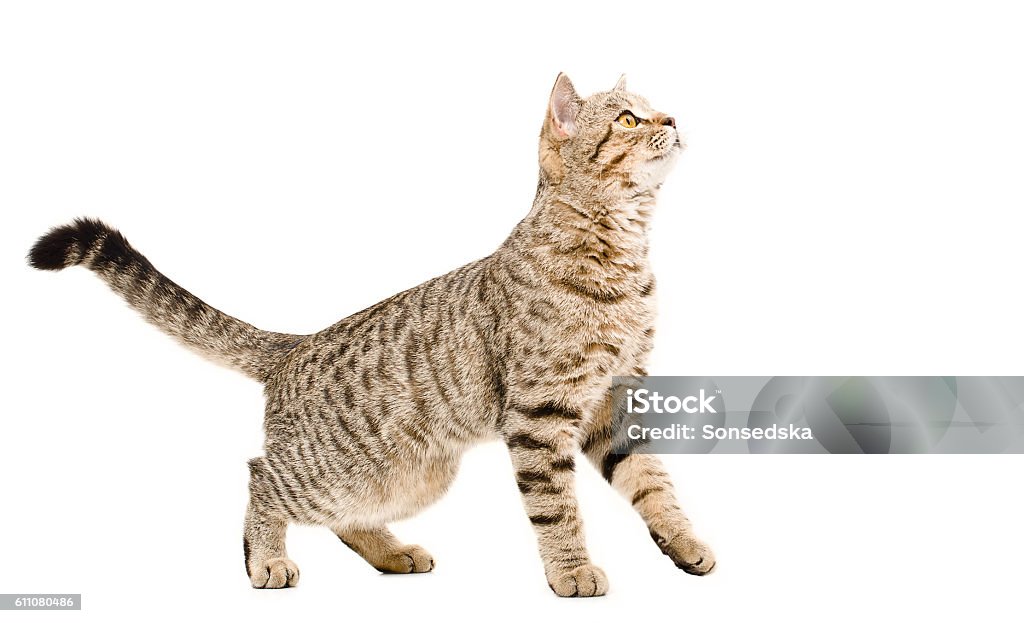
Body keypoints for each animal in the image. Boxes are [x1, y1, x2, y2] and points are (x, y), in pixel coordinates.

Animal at [29, 74, 712, 598]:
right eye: (628, 118)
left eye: (654, 106)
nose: (674, 117)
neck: (620, 254)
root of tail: (295, 344)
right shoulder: (540, 415)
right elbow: (558, 508)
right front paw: (571, 571)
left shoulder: (614, 403)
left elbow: (654, 483)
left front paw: (684, 541)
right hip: (330, 471)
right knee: (261, 477)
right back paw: (265, 559)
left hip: (411, 474)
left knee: (344, 519)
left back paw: (391, 553)